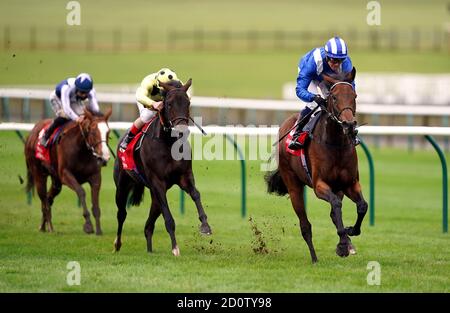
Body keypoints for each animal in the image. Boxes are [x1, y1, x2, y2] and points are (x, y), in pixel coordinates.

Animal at [112, 78, 211, 256]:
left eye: (188, 102)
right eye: (169, 104)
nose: (181, 129)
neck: (168, 143)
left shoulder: (184, 176)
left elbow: (196, 194)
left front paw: (205, 226)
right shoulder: (158, 182)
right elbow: (168, 217)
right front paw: (175, 247)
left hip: (154, 195)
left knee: (148, 226)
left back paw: (150, 250)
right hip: (122, 185)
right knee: (121, 213)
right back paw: (117, 244)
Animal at [266, 67, 368, 262]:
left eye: (355, 95)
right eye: (334, 97)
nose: (349, 124)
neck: (335, 144)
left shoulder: (350, 183)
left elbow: (362, 206)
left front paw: (350, 233)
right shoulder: (319, 184)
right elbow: (336, 204)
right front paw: (343, 243)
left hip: (338, 187)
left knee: (334, 212)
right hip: (293, 185)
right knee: (305, 224)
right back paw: (314, 258)